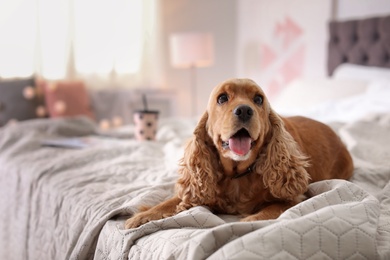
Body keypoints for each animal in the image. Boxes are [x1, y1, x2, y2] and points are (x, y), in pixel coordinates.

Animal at [125, 78, 354, 229]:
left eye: (258, 99)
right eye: (222, 98)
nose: (244, 110)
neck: (237, 175)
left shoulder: (295, 198)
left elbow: (270, 210)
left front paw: (248, 222)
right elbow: (172, 201)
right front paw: (143, 216)